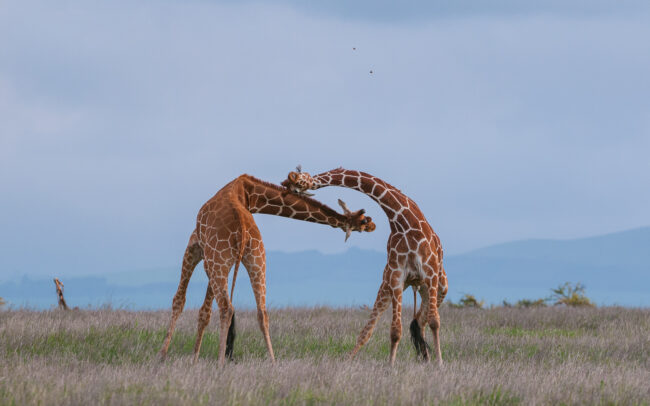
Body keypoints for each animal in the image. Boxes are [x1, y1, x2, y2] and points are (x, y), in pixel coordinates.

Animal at [159, 174, 375, 367]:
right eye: (364, 220)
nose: (373, 225)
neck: (249, 193)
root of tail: (243, 230)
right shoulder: (206, 256)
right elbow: (199, 308)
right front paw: (190, 358)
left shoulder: (197, 248)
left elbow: (182, 302)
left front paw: (166, 357)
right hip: (256, 259)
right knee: (262, 312)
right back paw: (273, 364)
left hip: (222, 260)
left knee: (227, 308)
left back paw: (220, 365)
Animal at [282, 167, 447, 365]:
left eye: (297, 183)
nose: (285, 189)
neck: (402, 221)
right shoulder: (396, 277)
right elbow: (395, 331)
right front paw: (390, 367)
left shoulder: (430, 273)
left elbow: (435, 322)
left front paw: (440, 364)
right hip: (390, 286)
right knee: (375, 330)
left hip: (438, 287)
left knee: (422, 320)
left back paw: (428, 359)